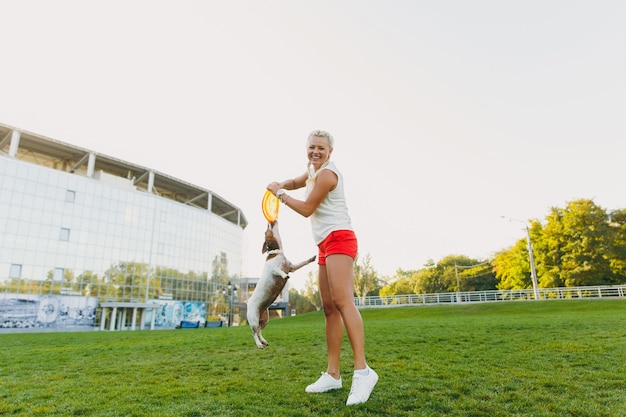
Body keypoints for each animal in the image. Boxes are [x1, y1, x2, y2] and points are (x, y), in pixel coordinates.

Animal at [246, 219, 314, 350]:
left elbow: (303, 263)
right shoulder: (273, 269)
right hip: (254, 319)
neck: (277, 253)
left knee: (259, 331)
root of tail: (248, 302)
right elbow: (279, 271)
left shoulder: (292, 267)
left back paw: (264, 341)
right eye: (266, 229)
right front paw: (284, 276)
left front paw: (311, 258)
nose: (269, 221)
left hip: (265, 319)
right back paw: (259, 344)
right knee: (254, 333)